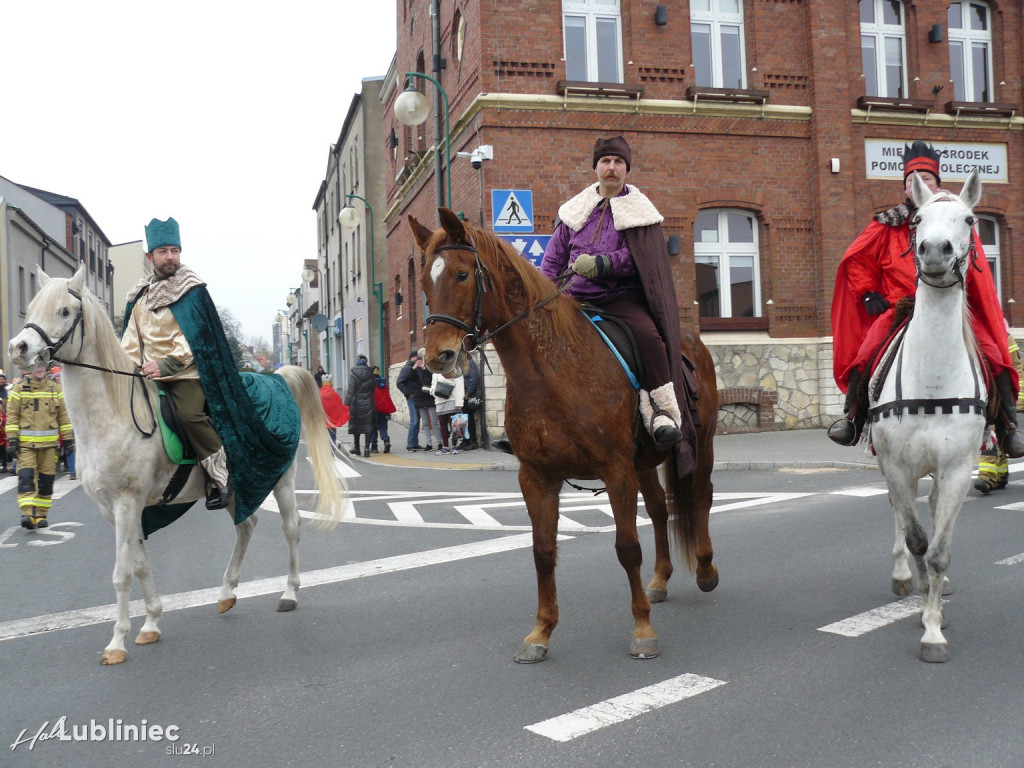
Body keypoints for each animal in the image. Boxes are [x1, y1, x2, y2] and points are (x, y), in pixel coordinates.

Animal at [409, 208, 720, 663]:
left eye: (463, 275)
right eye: (424, 283)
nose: (438, 357)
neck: (553, 371)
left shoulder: (615, 471)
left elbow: (627, 548)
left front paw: (642, 629)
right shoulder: (537, 476)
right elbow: (543, 552)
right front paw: (540, 633)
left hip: (702, 445)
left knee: (699, 497)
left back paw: (705, 569)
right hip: (644, 462)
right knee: (660, 509)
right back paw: (661, 579)